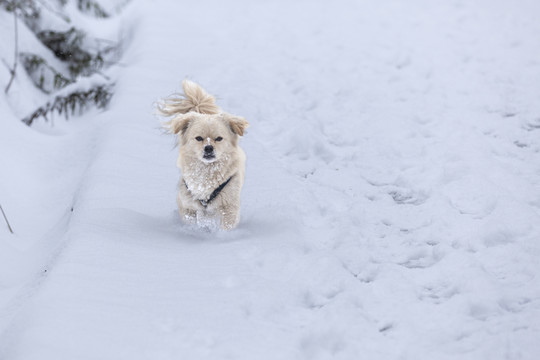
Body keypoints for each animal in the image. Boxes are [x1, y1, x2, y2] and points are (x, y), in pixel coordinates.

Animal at [157, 80, 248, 229]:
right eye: (199, 138)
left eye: (219, 138)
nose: (208, 148)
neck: (207, 172)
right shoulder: (188, 205)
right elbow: (190, 220)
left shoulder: (229, 206)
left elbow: (227, 225)